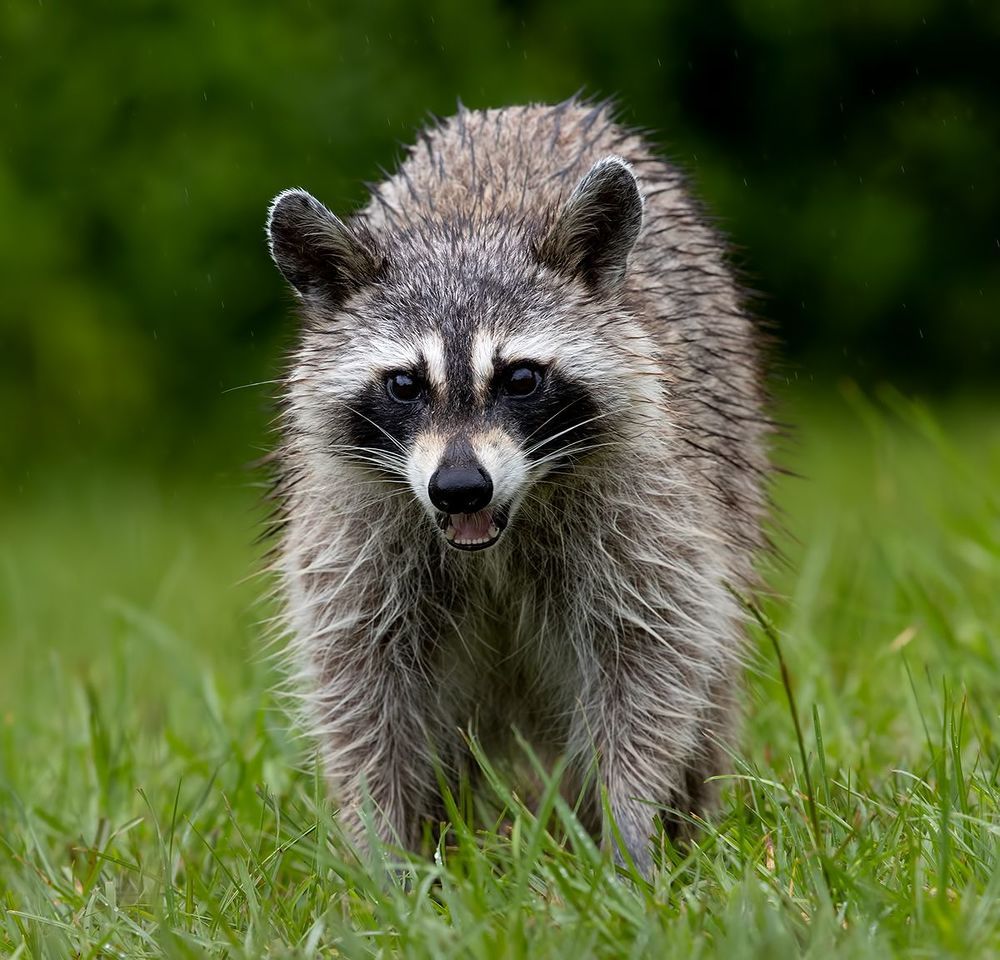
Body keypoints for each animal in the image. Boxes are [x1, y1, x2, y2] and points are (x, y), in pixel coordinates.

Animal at [264, 99, 769, 875]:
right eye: (405, 385)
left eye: (521, 378)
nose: (459, 488)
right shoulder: (356, 529)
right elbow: (362, 684)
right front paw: (386, 853)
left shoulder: (647, 502)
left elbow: (652, 657)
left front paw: (628, 831)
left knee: (710, 683)